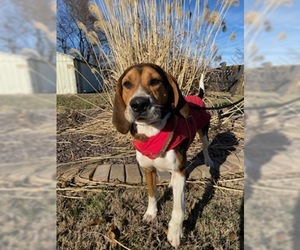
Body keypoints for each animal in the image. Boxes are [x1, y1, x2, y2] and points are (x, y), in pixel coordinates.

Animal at [112, 63, 213, 248]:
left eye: (155, 81)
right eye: (127, 84)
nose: (139, 104)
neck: (152, 132)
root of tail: (197, 97)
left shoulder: (180, 171)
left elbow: (178, 209)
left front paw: (175, 232)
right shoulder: (148, 170)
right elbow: (152, 194)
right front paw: (151, 213)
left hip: (203, 132)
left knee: (205, 147)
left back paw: (209, 161)